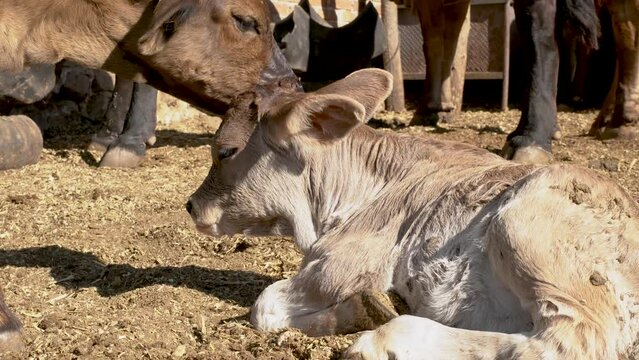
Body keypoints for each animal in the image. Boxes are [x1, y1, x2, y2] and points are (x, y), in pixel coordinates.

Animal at [186, 69, 639, 358]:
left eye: (225, 150)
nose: (191, 205)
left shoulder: (343, 263)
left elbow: (264, 305)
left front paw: (363, 312)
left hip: (527, 234)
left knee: (567, 341)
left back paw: (382, 342)